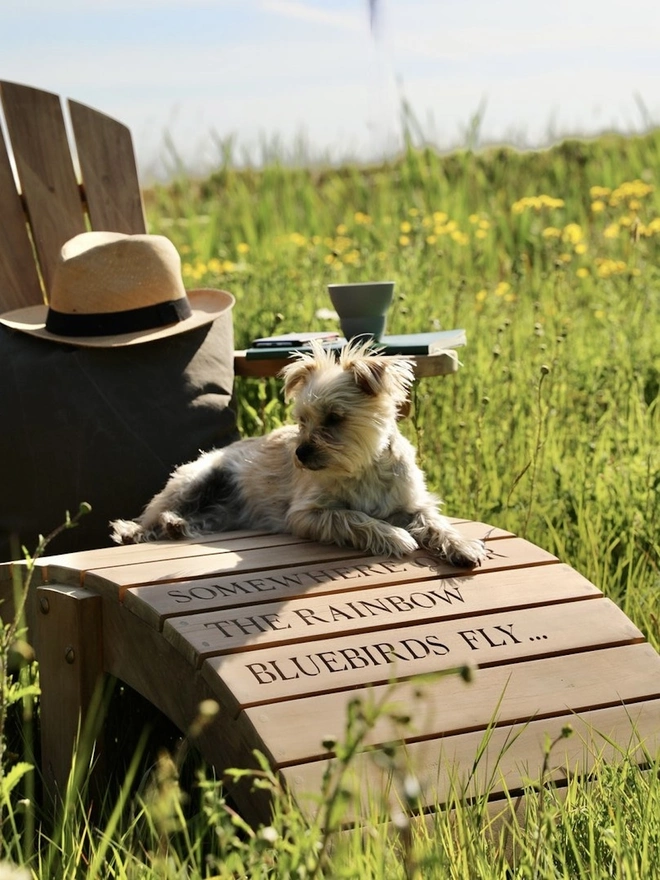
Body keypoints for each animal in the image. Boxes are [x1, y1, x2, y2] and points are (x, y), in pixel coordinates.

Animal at [111, 340, 488, 568]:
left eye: (334, 418)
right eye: (301, 420)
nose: (300, 454)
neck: (361, 468)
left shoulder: (414, 505)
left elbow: (437, 524)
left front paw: (461, 546)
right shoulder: (308, 514)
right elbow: (354, 517)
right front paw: (396, 537)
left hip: (225, 510)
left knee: (206, 518)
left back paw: (178, 526)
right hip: (195, 480)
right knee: (154, 513)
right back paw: (137, 530)